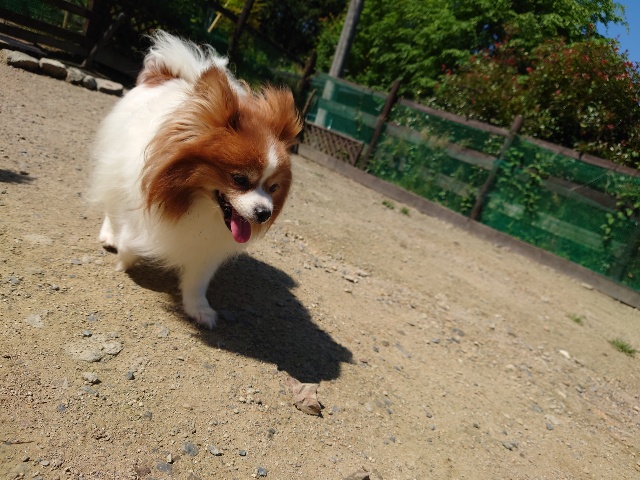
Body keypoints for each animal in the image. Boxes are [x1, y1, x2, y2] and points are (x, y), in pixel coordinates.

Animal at [90, 31, 302, 329]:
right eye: (239, 179)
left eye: (272, 188)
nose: (264, 213)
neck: (192, 202)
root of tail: (165, 75)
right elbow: (131, 238)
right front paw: (124, 259)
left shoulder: (207, 246)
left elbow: (197, 281)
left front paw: (198, 309)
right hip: (113, 163)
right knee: (111, 203)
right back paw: (109, 234)